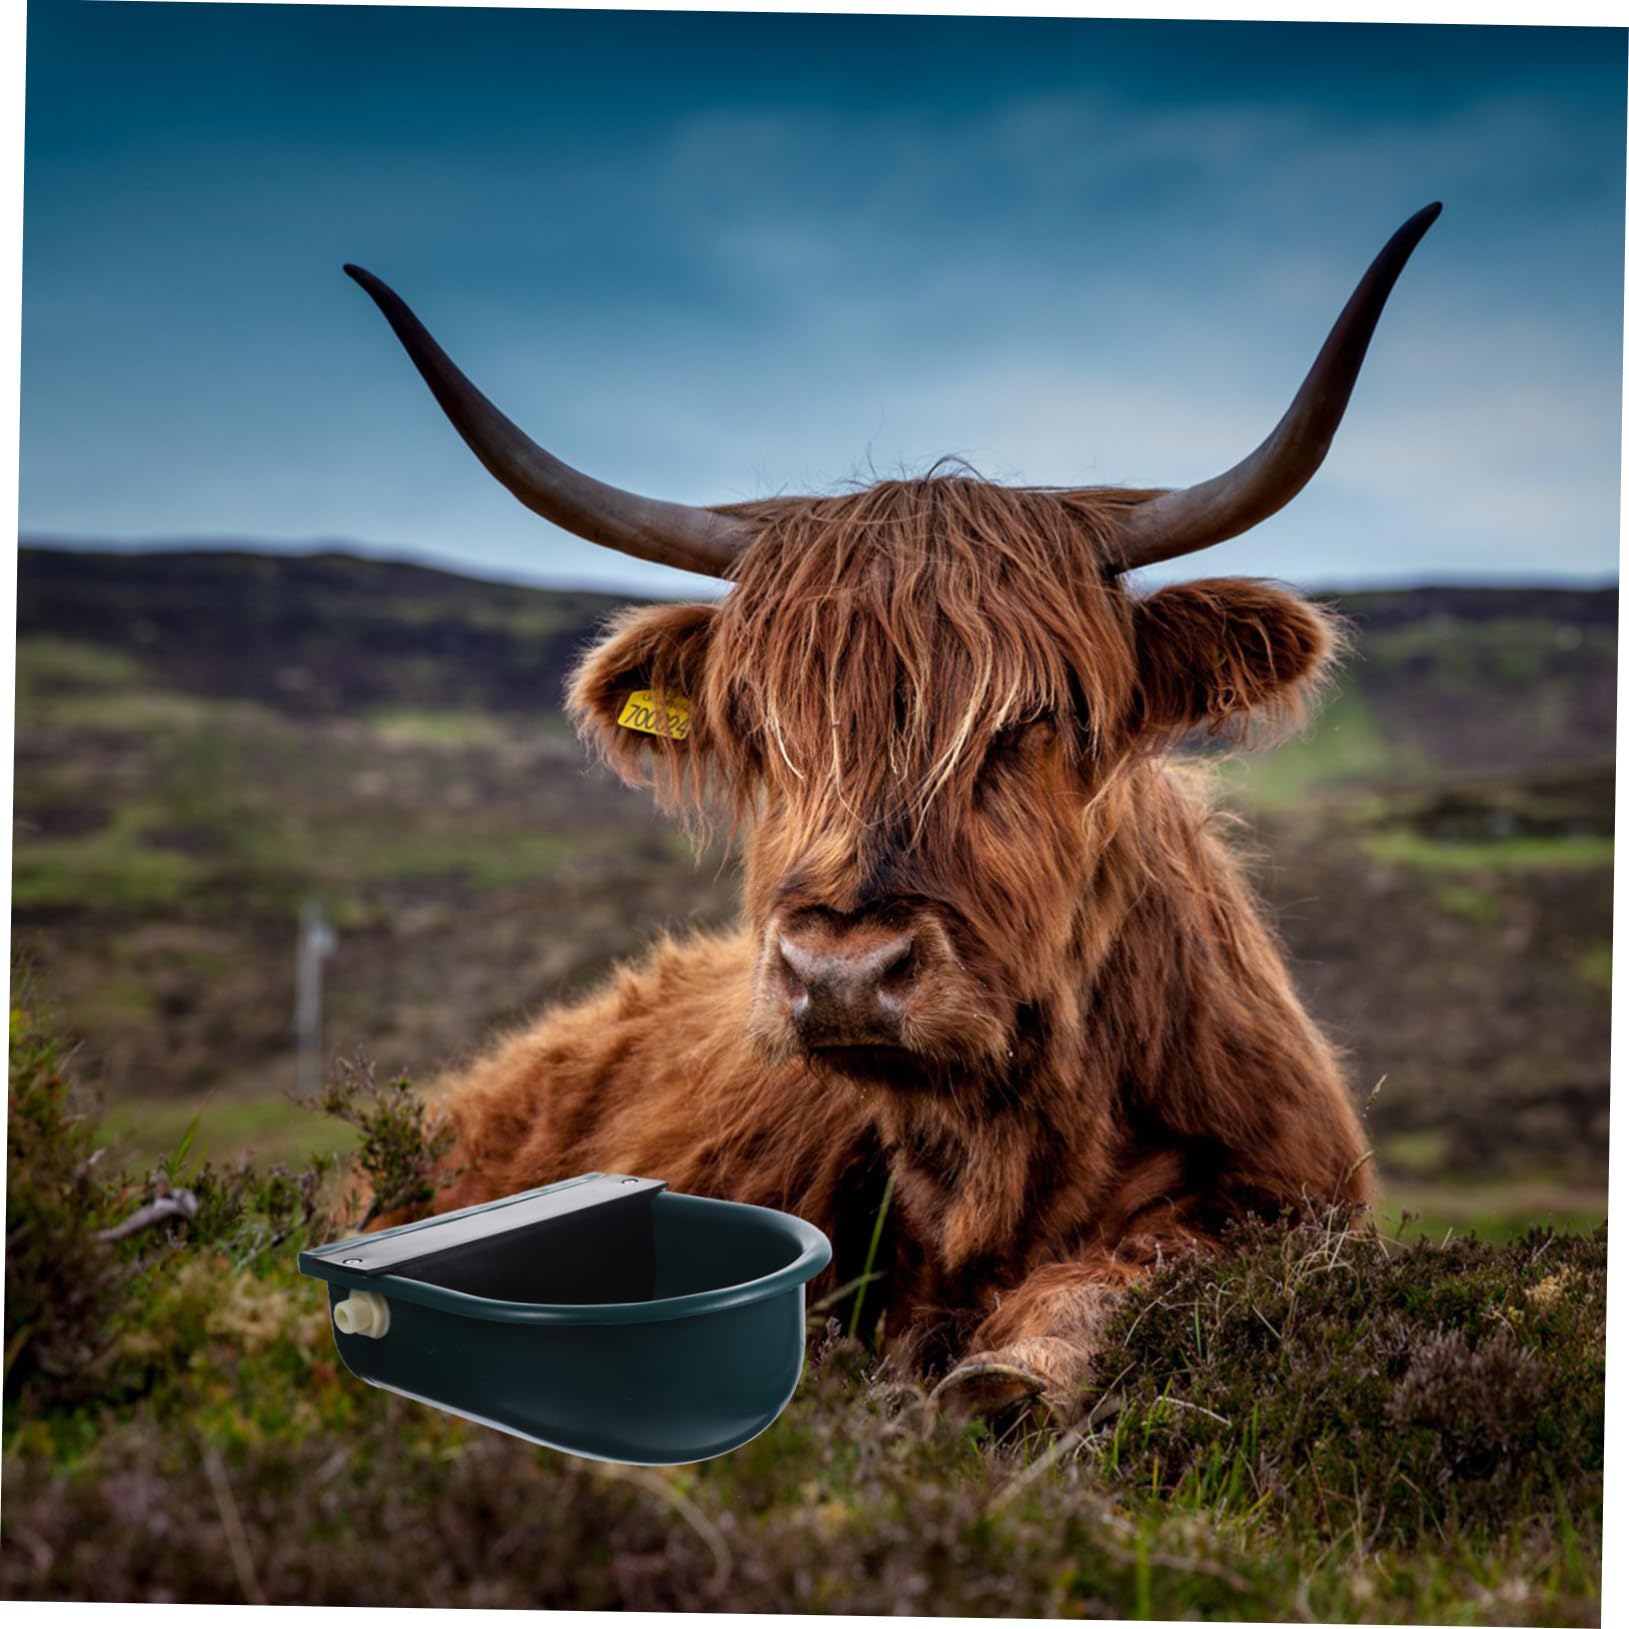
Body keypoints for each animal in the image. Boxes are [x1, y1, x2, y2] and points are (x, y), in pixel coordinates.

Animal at [342, 203, 1440, 1418]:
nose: (842, 974)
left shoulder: (1282, 1199)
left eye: (1036, 716)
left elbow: (1140, 1267)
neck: (997, 1162)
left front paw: (1009, 1371)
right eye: (762, 725)